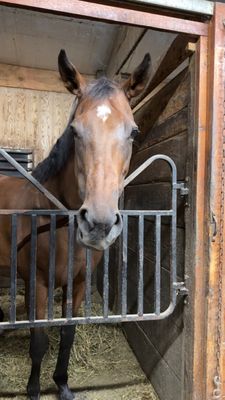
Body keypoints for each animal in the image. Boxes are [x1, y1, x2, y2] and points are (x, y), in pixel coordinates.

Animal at [0, 50, 151, 400]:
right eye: (76, 130)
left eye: (133, 132)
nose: (98, 224)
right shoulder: (38, 283)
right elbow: (39, 339)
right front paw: (33, 390)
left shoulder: (78, 283)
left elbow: (67, 334)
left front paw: (63, 384)